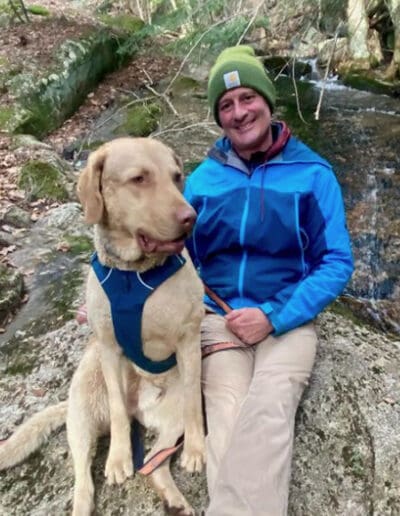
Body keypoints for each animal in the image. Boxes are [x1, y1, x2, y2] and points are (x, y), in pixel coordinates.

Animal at [0, 137, 206, 516]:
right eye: (139, 179)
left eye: (176, 177)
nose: (191, 218)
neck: (134, 275)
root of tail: (142, 408)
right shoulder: (110, 349)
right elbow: (117, 409)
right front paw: (119, 457)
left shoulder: (189, 340)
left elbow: (193, 408)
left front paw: (197, 449)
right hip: (82, 417)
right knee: (83, 478)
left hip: (171, 419)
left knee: (154, 463)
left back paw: (174, 499)